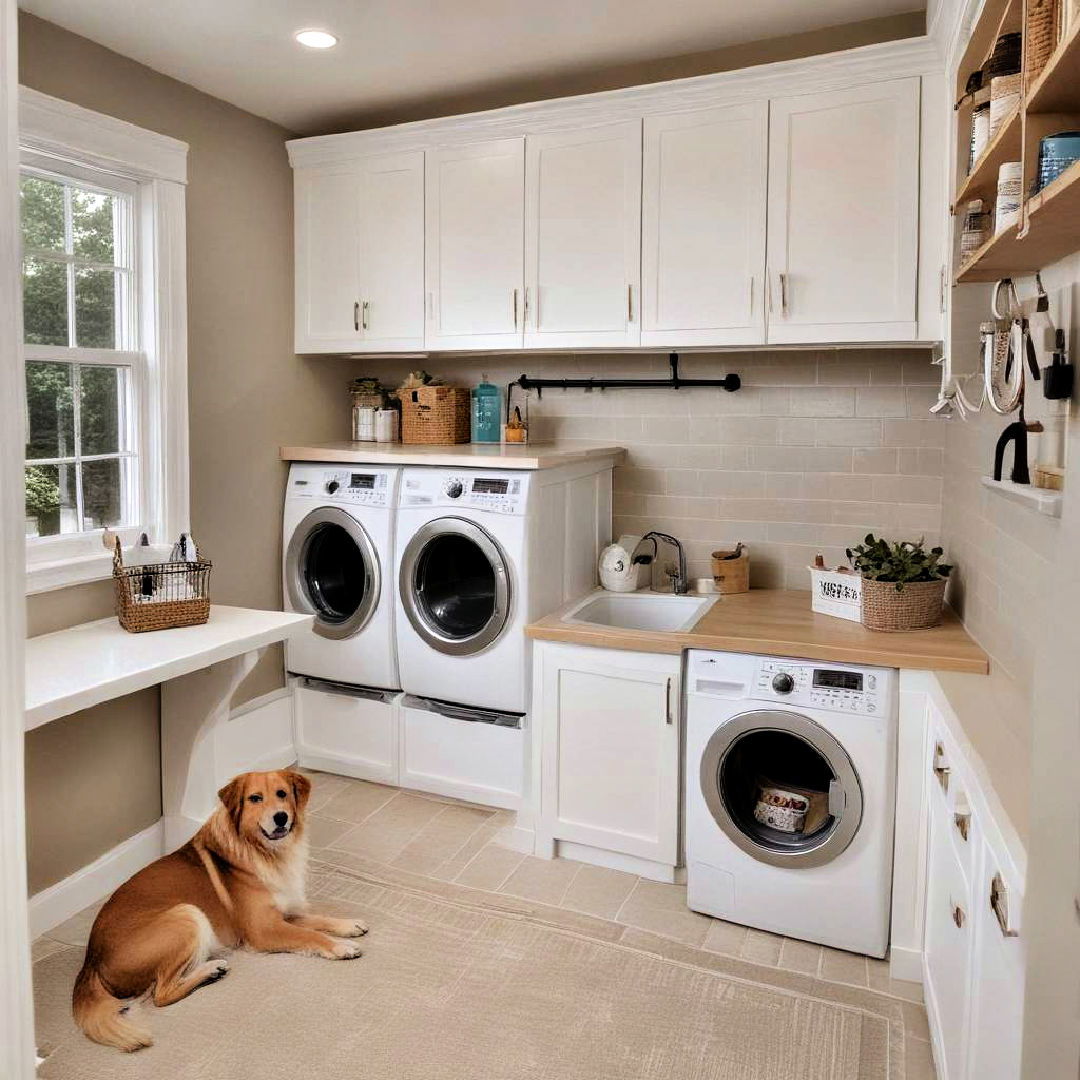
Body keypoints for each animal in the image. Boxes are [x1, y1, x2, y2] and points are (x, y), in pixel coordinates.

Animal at [72, 773, 367, 1049]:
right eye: (255, 798)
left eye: (282, 794)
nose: (281, 817)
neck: (264, 851)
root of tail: (91, 959)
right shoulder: (263, 929)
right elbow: (310, 936)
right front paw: (340, 947)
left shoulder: (283, 914)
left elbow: (319, 919)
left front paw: (348, 925)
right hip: (186, 915)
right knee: (161, 994)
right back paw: (210, 971)